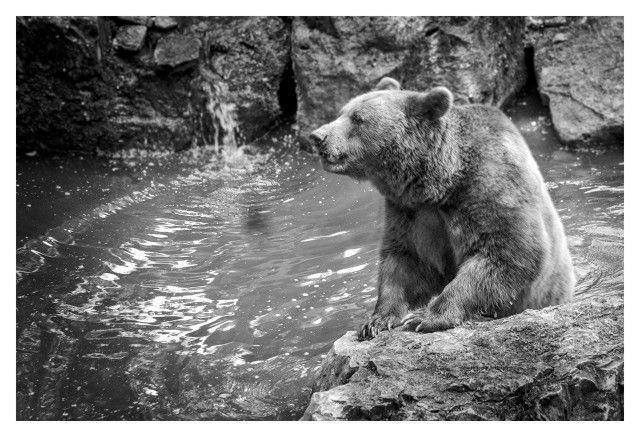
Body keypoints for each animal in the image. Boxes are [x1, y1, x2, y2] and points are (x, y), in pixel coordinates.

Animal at [309, 77, 575, 339]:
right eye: (342, 112)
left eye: (358, 118)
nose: (317, 136)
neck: (440, 181)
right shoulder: (408, 212)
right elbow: (406, 261)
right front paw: (377, 320)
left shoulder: (491, 185)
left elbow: (509, 251)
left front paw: (425, 318)